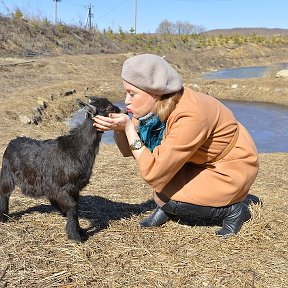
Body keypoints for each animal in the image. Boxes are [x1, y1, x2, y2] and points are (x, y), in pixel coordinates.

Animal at [0, 96, 122, 241]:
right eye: (108, 107)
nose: (120, 110)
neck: (77, 149)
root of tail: (11, 142)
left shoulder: (74, 188)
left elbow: (74, 207)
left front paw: (80, 230)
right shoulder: (59, 187)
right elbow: (73, 206)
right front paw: (75, 236)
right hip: (7, 175)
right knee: (4, 194)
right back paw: (3, 217)